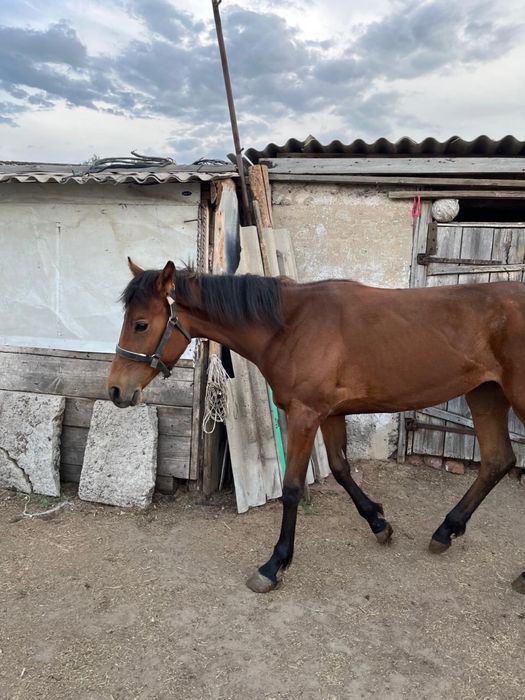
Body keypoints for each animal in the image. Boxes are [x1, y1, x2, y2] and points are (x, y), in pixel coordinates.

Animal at [108, 258, 524, 594]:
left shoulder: (305, 415)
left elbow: (292, 487)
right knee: (496, 461)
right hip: (485, 394)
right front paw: (379, 523)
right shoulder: (330, 414)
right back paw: (446, 531)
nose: (115, 390)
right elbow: (340, 469)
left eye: (141, 324)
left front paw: (274, 565)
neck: (291, 325)